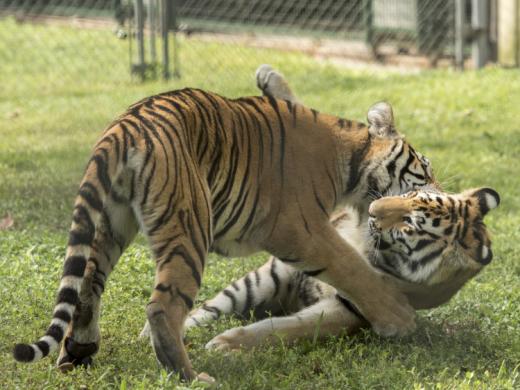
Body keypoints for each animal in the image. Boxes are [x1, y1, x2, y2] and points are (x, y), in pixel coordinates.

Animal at [158, 66, 500, 350]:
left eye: (411, 224)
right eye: (419, 184)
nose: (376, 209)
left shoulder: (346, 309)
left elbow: (287, 328)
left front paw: (227, 345)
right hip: (261, 280)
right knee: (208, 308)